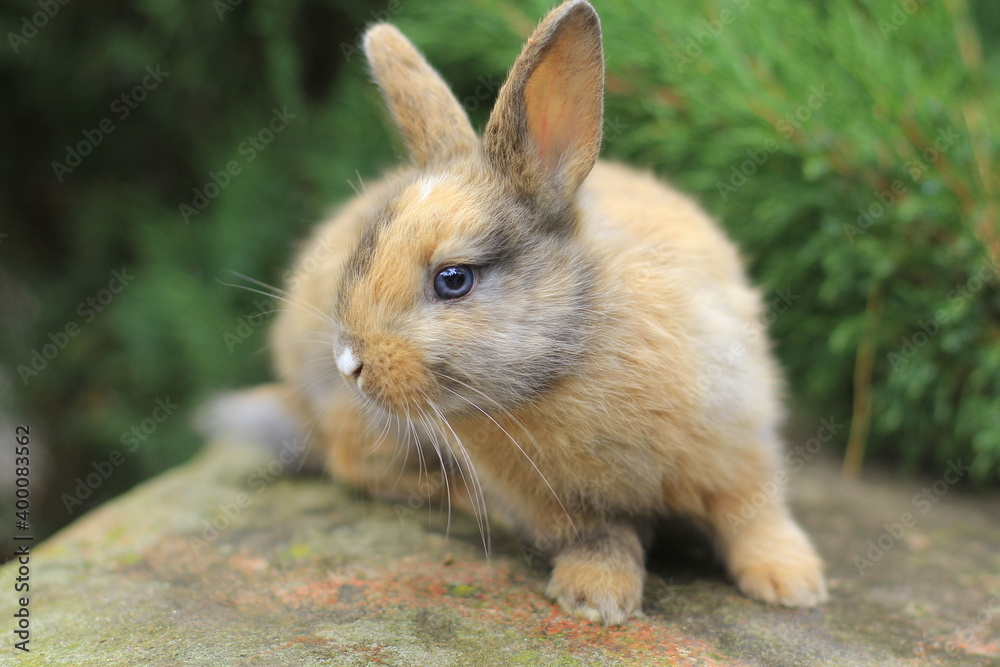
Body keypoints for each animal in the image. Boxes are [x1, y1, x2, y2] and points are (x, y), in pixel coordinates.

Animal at [209, 0, 828, 625]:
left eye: (453, 280)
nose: (349, 363)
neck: (567, 362)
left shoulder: (738, 442)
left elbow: (753, 515)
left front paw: (793, 585)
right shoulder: (564, 508)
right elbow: (602, 538)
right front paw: (596, 600)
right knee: (352, 466)